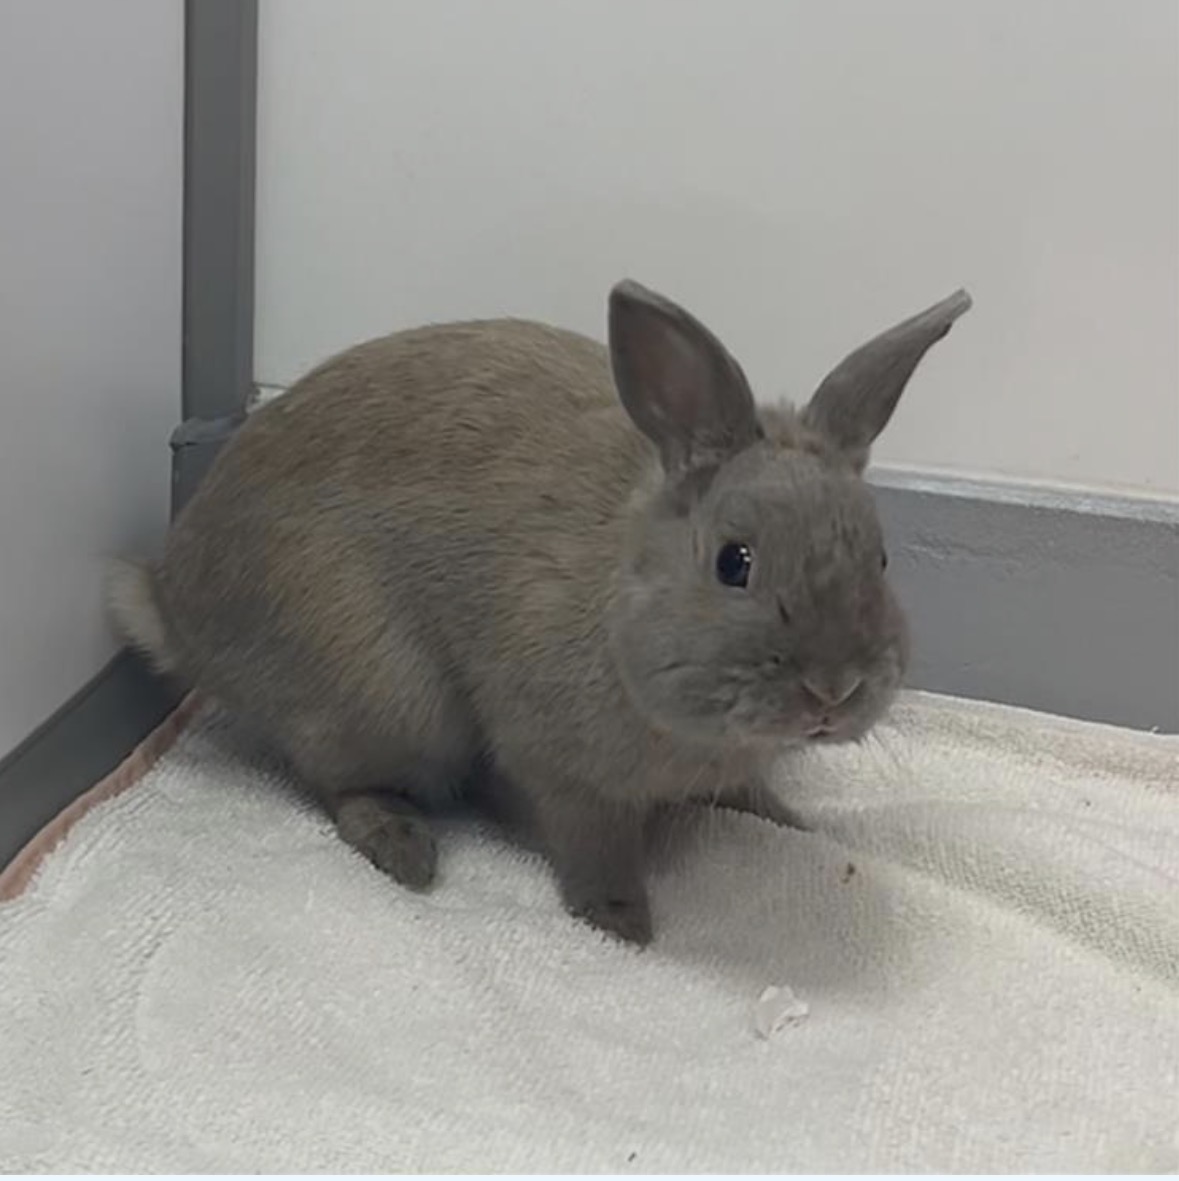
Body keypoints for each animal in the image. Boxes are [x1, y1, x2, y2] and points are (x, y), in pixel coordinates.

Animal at [108, 279, 971, 944]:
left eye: (880, 558)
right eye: (735, 561)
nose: (832, 690)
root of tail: (174, 603)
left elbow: (752, 795)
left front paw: (796, 824)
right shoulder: (561, 771)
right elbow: (593, 844)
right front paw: (621, 922)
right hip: (385, 701)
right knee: (337, 784)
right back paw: (406, 849)